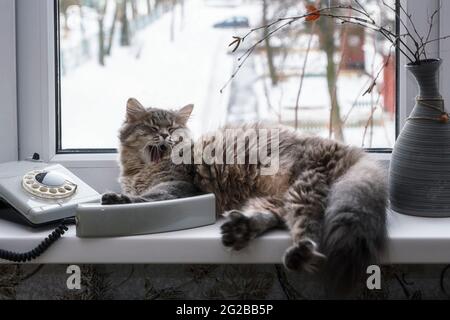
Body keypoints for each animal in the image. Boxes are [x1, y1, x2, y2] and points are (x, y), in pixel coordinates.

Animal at [102, 98, 386, 296]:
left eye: (172, 128)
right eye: (152, 127)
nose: (164, 136)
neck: (140, 170)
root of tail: (349, 149)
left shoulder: (178, 186)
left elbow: (146, 197)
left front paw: (118, 199)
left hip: (303, 189)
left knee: (309, 230)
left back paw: (298, 252)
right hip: (278, 199)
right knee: (274, 218)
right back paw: (240, 229)